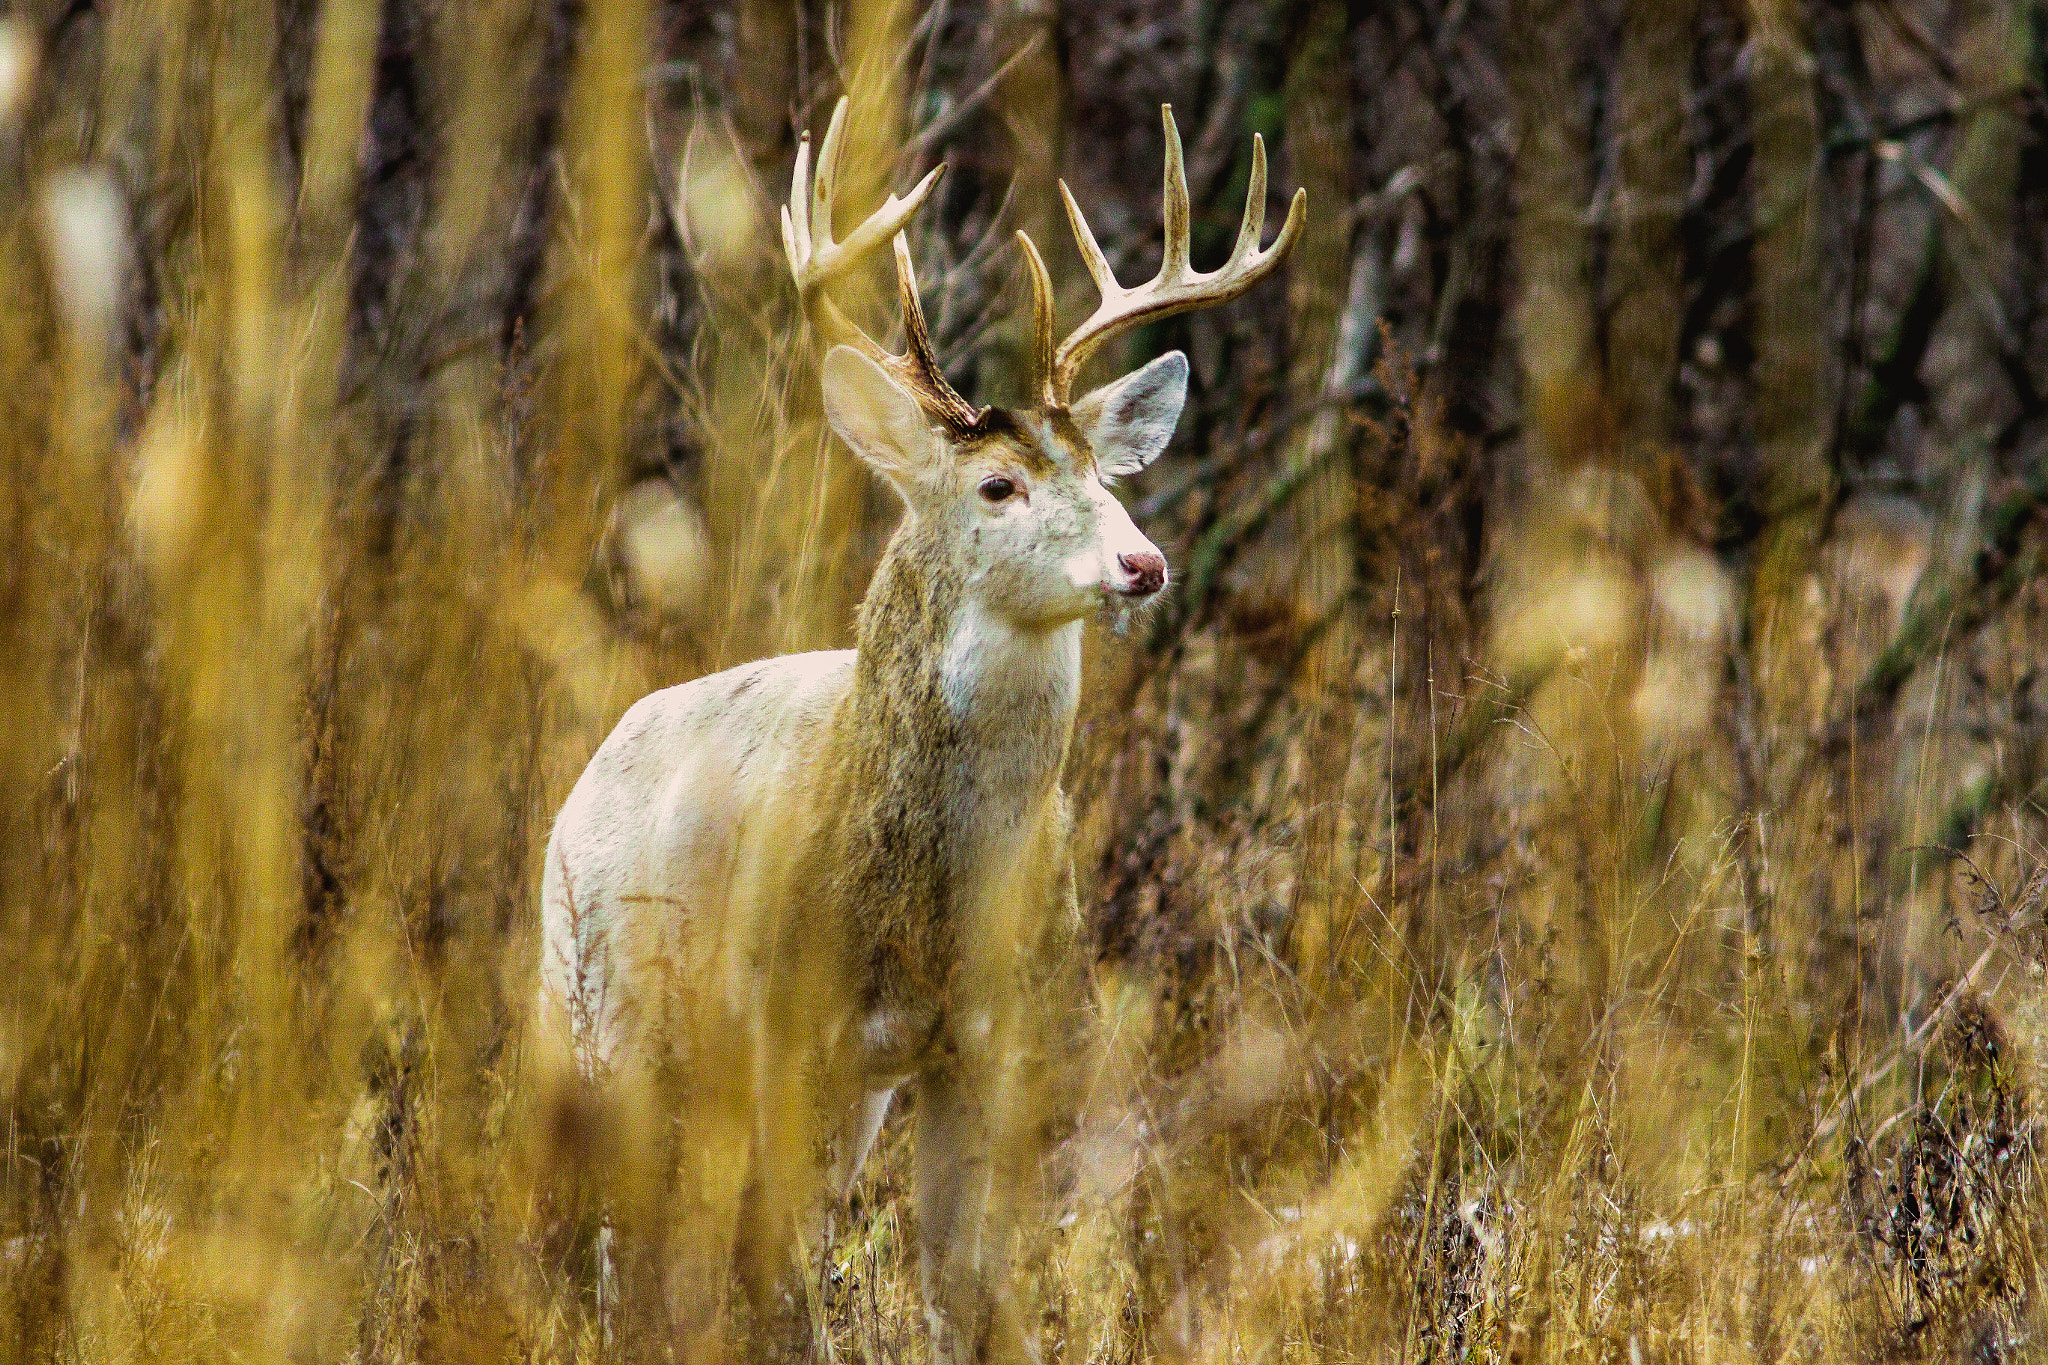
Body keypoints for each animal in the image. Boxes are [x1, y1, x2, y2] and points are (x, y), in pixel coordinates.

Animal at [536, 98, 1302, 1365]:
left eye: (1105, 474)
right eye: (997, 486)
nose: (1141, 565)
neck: (929, 904)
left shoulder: (990, 1044)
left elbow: (964, 1285)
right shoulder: (786, 1024)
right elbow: (789, 1280)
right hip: (594, 1007)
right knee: (616, 1230)